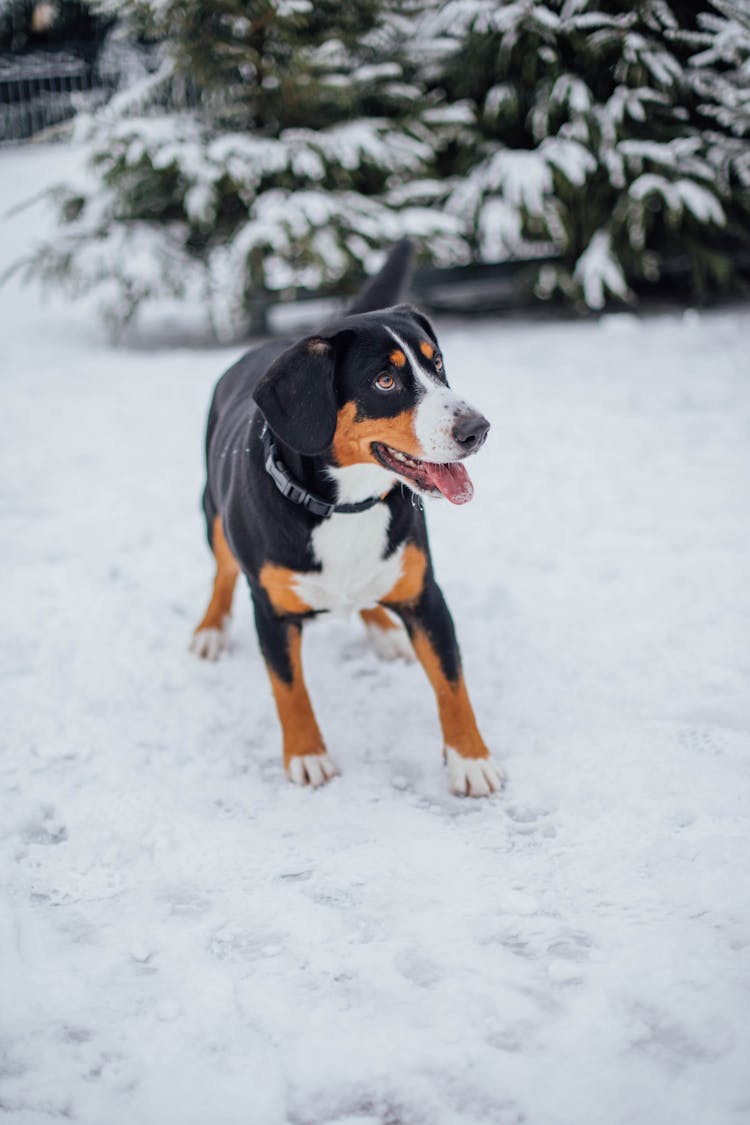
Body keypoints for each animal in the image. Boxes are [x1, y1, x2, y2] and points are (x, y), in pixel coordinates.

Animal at [191, 241, 503, 796]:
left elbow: (452, 684)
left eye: (437, 364)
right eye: (385, 380)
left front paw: (470, 758)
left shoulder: (426, 595)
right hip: (212, 511)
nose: (477, 428)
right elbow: (289, 689)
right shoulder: (270, 611)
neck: (345, 506)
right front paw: (307, 754)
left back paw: (380, 625)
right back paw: (210, 627)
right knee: (222, 570)